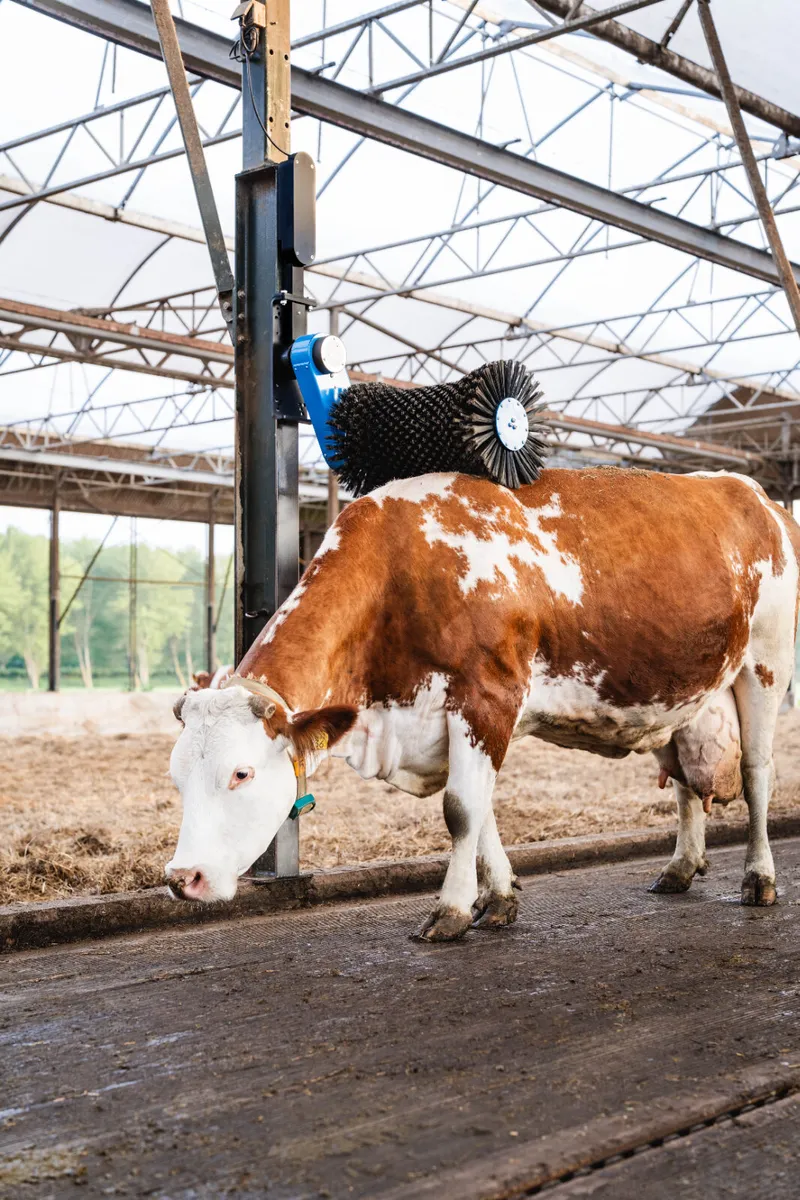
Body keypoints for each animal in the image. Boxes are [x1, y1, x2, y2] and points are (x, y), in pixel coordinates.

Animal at [166, 468, 800, 941]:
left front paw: (450, 909)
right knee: (687, 782)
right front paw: (496, 898)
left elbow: (461, 809)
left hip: (766, 664)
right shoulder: (457, 717)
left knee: (757, 772)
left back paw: (759, 878)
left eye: (241, 773)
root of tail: (757, 494)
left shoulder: (486, 694)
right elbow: (481, 807)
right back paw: (680, 867)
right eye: (176, 777)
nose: (181, 877)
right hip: (683, 695)